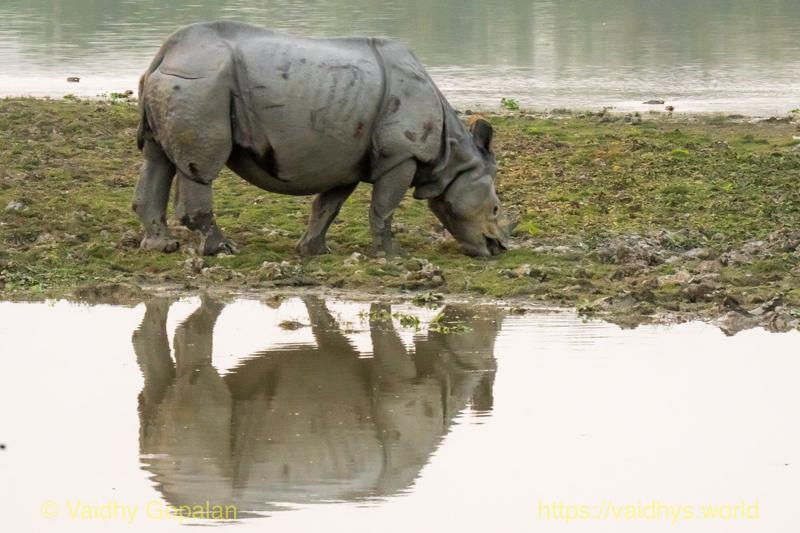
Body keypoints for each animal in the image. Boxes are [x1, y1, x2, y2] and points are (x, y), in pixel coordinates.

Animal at [133, 21, 510, 257]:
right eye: (495, 208)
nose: (497, 249)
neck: (453, 157)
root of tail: (164, 55)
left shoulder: (347, 161)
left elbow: (328, 206)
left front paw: (313, 251)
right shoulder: (402, 156)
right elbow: (383, 207)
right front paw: (392, 256)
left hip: (184, 81)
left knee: (156, 158)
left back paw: (162, 247)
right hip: (202, 82)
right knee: (201, 167)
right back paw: (222, 251)